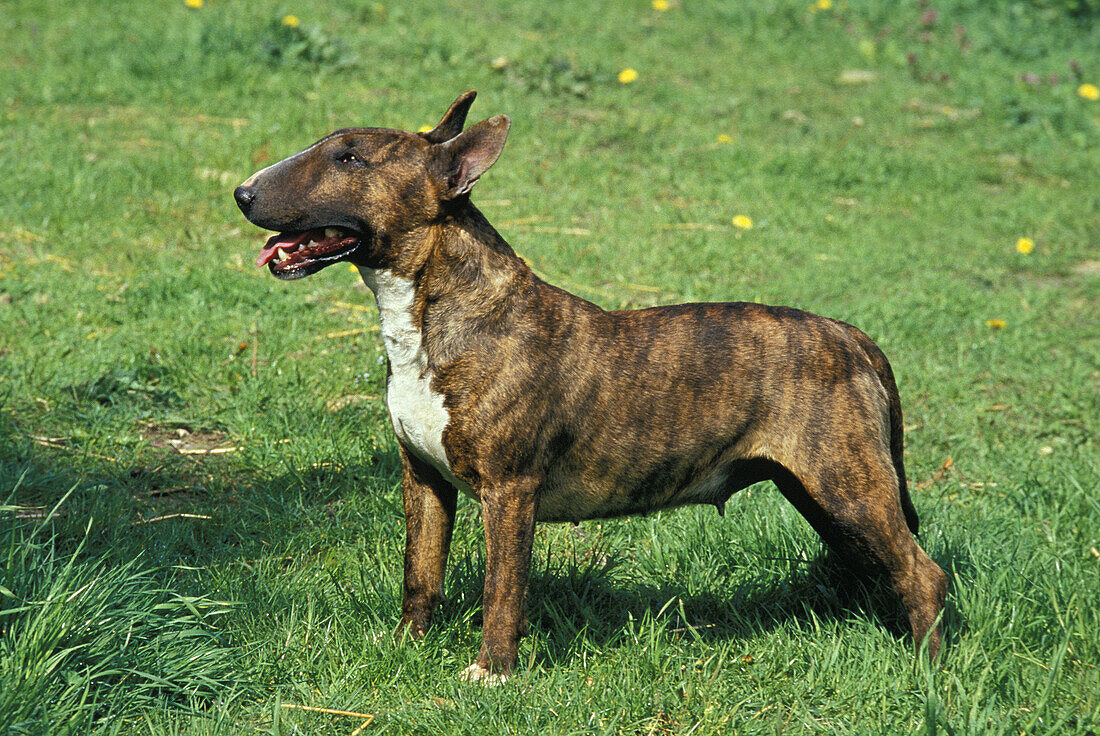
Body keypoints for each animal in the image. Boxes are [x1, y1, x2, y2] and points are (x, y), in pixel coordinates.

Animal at [232, 91, 946, 682]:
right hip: (821, 491)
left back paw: (924, 670)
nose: (241, 193)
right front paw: (405, 646)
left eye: (349, 157)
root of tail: (853, 337)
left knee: (925, 574)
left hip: (847, 483)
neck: (439, 316)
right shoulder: (424, 478)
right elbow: (421, 572)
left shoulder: (509, 490)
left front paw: (490, 674)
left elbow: (502, 589)